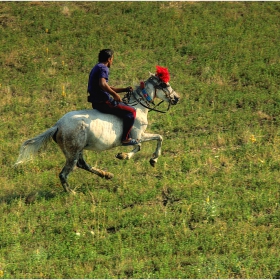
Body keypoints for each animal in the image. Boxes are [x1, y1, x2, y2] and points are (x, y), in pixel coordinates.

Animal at [15, 71, 180, 192]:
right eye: (164, 84)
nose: (177, 98)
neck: (138, 107)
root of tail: (57, 125)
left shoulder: (141, 136)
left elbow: (158, 138)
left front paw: (152, 160)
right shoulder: (137, 136)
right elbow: (143, 144)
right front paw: (127, 156)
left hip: (76, 150)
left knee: (82, 165)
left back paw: (106, 175)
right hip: (72, 152)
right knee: (64, 173)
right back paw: (71, 193)